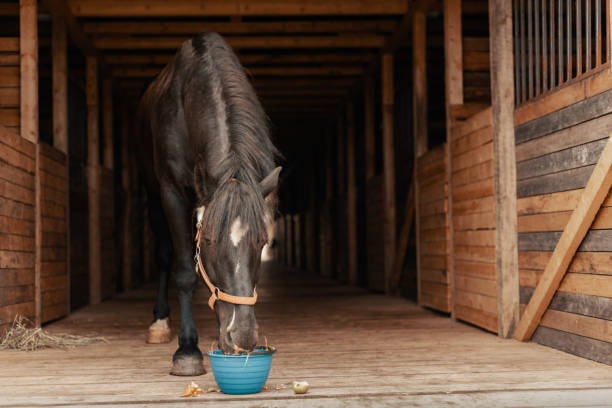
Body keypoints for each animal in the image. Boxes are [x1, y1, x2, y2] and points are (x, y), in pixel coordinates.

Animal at [135, 31, 280, 376]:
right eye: (210, 240)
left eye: (262, 241)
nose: (243, 336)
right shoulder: (172, 193)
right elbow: (185, 271)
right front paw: (187, 350)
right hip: (153, 195)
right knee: (164, 255)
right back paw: (160, 323)